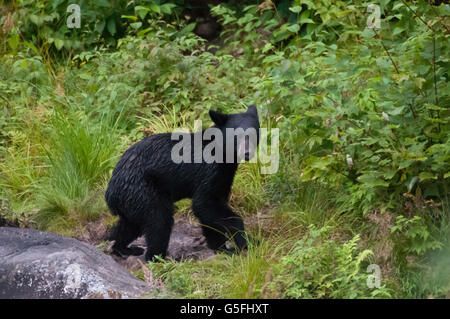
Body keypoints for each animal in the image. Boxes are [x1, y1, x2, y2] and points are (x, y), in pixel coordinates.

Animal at [106, 106, 260, 262]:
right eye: (236, 136)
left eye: (254, 134)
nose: (247, 153)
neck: (223, 155)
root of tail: (111, 194)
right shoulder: (208, 172)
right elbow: (204, 203)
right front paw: (246, 242)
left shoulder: (224, 177)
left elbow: (208, 212)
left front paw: (222, 248)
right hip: (144, 191)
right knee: (159, 222)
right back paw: (159, 257)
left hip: (132, 199)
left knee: (130, 225)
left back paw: (124, 248)